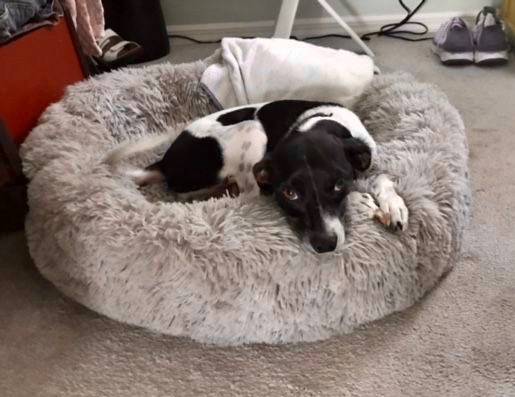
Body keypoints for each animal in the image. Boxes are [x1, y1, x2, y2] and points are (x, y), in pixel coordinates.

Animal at [107, 100, 410, 252]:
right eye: (290, 193)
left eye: (338, 184)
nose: (324, 245)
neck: (321, 122)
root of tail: (165, 161)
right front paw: (363, 202)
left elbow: (381, 178)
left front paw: (393, 206)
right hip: (252, 130)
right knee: (245, 192)